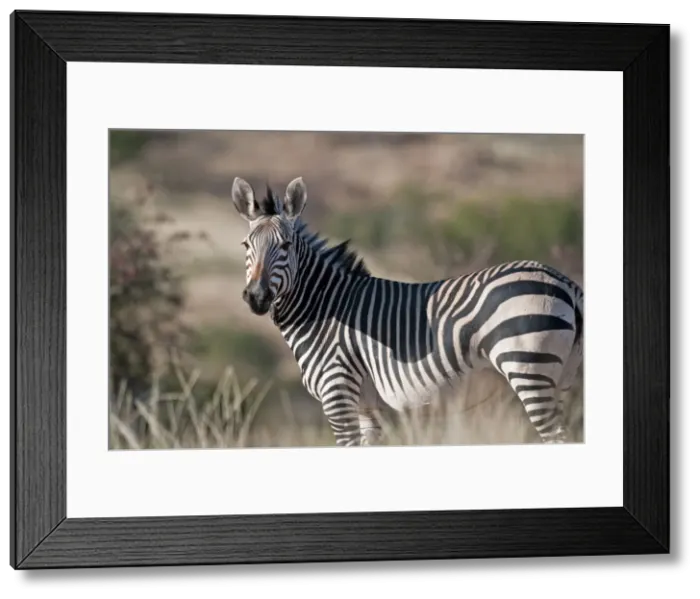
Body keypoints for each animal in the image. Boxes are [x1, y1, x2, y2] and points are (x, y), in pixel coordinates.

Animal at [229, 175, 584, 447]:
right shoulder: (367, 407)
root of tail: (564, 280)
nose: (257, 297)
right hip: (558, 379)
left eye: (286, 246)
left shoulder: (338, 393)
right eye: (246, 246)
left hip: (528, 369)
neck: (325, 307)